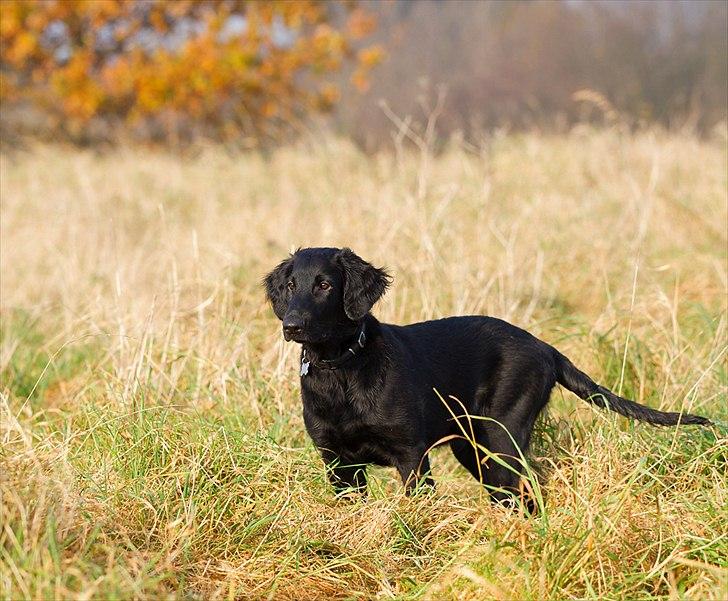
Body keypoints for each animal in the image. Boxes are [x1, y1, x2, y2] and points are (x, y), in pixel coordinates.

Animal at [264, 246, 712, 504]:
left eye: (324, 284)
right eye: (290, 285)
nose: (292, 325)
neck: (341, 367)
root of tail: (545, 348)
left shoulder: (411, 455)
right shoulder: (337, 462)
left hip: (500, 437)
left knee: (529, 489)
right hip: (473, 447)